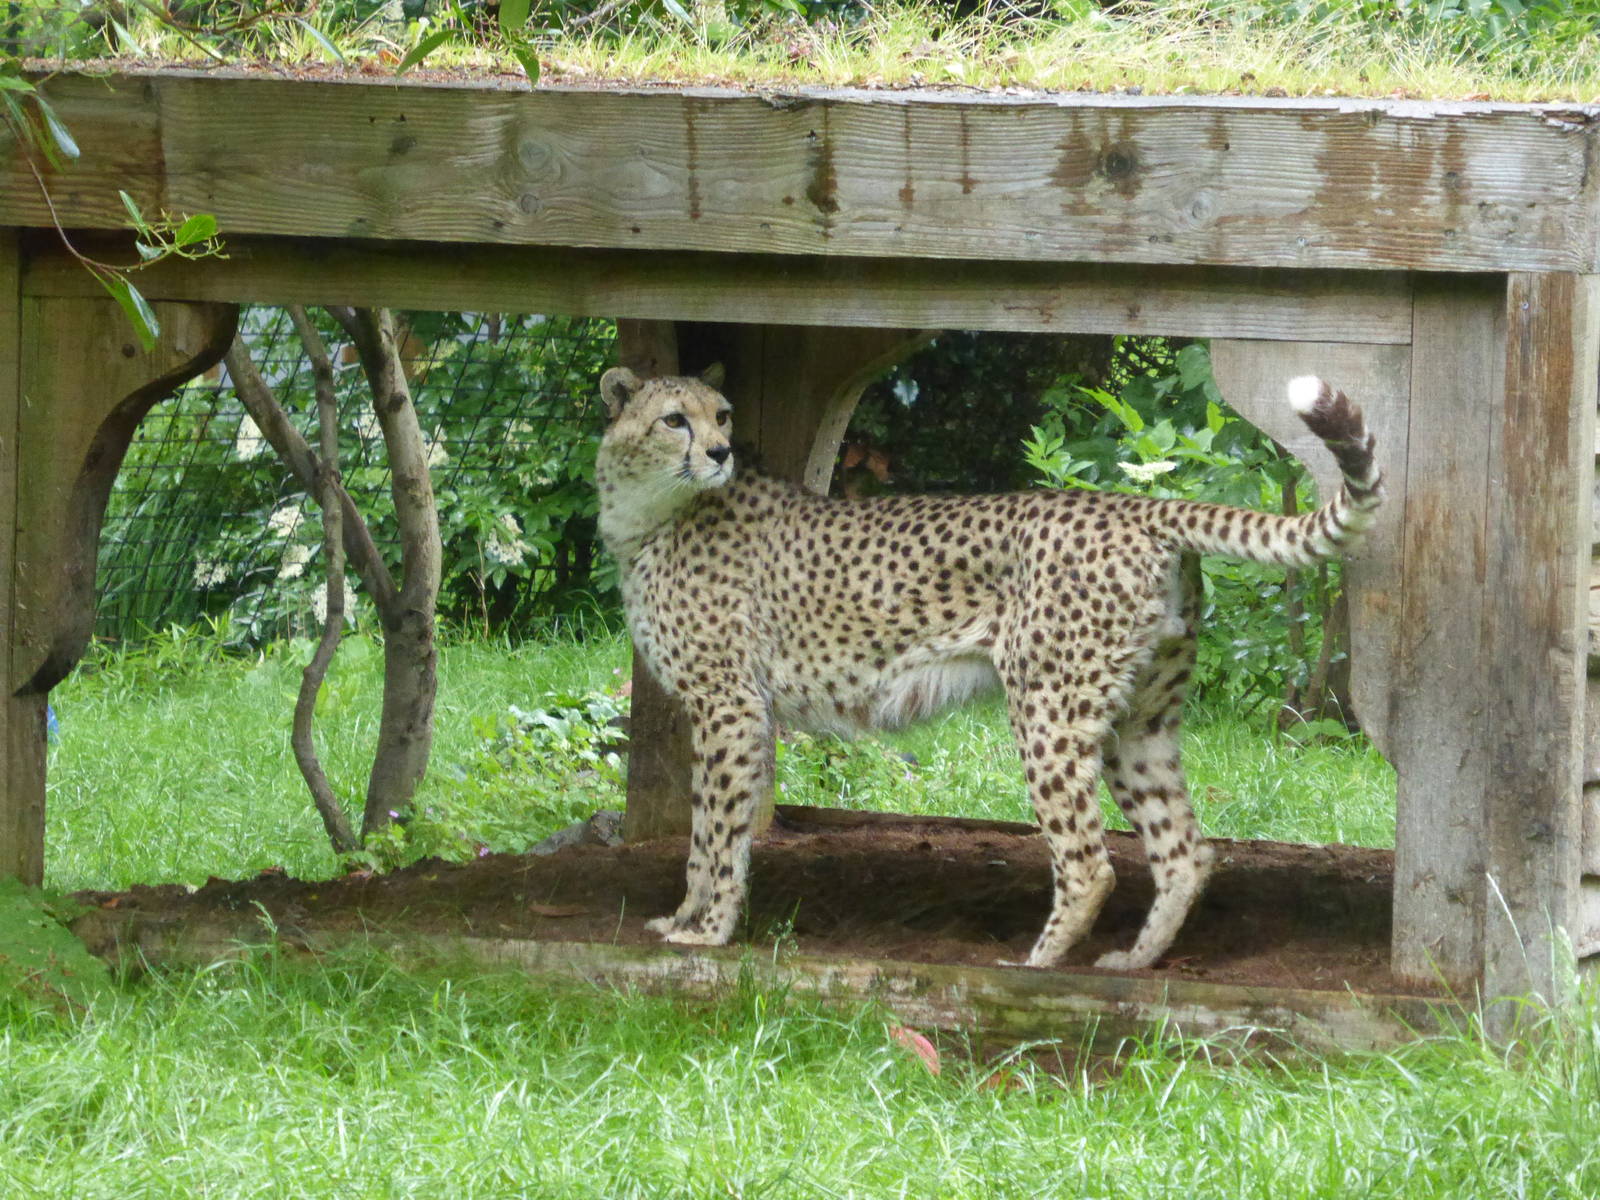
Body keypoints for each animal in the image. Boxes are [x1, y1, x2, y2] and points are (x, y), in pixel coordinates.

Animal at [594, 363, 1382, 971]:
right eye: (675, 419)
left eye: (721, 414)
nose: (721, 451)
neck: (651, 511)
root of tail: (1136, 504)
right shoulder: (735, 710)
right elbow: (706, 829)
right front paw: (684, 920)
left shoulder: (728, 706)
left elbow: (715, 834)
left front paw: (707, 931)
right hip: (1139, 719)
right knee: (1185, 850)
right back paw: (1135, 961)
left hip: (1048, 709)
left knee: (1089, 862)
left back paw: (1036, 964)